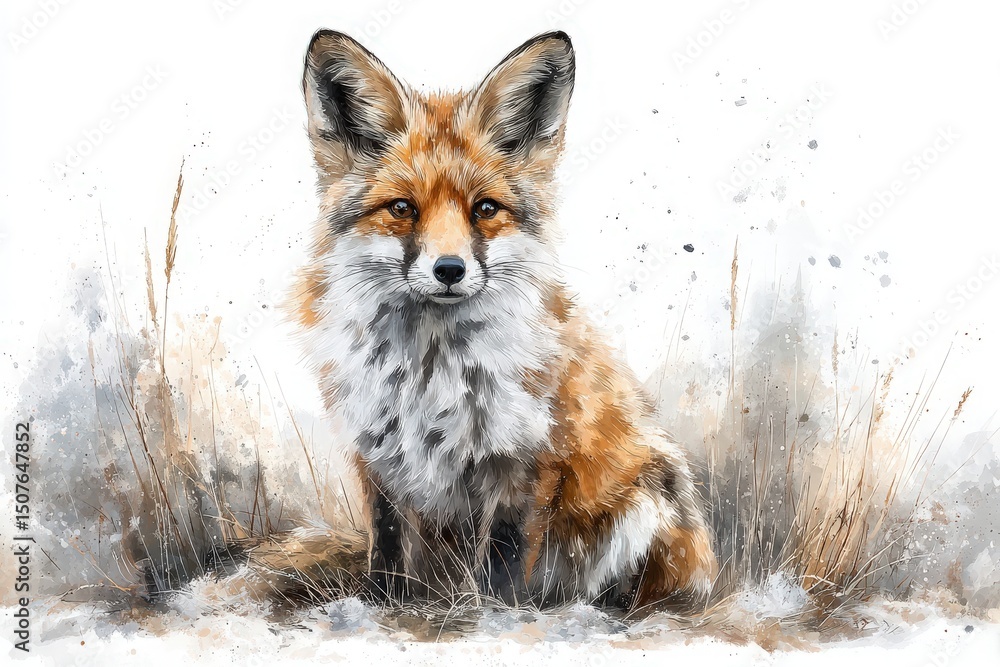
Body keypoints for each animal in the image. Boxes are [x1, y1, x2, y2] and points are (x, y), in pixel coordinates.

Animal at [288, 29, 717, 609]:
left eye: (485, 209)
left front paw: (492, 615)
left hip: (648, 495)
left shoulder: (526, 459)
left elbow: (504, 564)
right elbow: (388, 551)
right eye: (403, 208)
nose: (449, 270)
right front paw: (382, 605)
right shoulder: (377, 456)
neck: (429, 373)